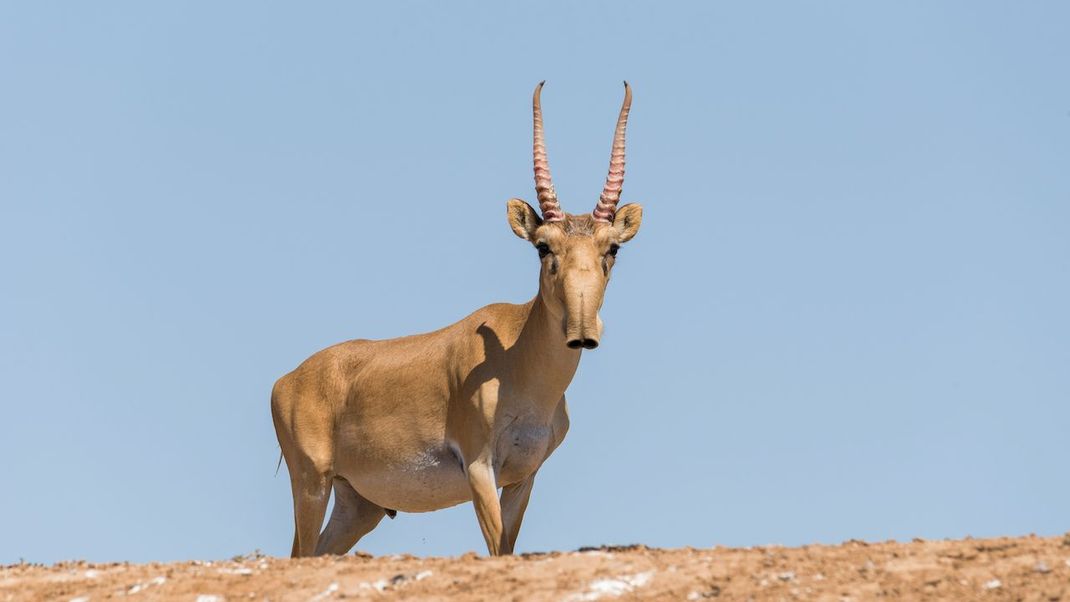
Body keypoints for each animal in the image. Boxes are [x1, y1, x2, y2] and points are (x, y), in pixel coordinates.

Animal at [271, 82, 646, 560]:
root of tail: (286, 381)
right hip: (312, 484)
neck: (516, 362)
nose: (582, 333)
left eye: (611, 248)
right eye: (543, 246)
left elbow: (507, 548)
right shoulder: (480, 468)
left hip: (357, 504)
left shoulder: (523, 478)